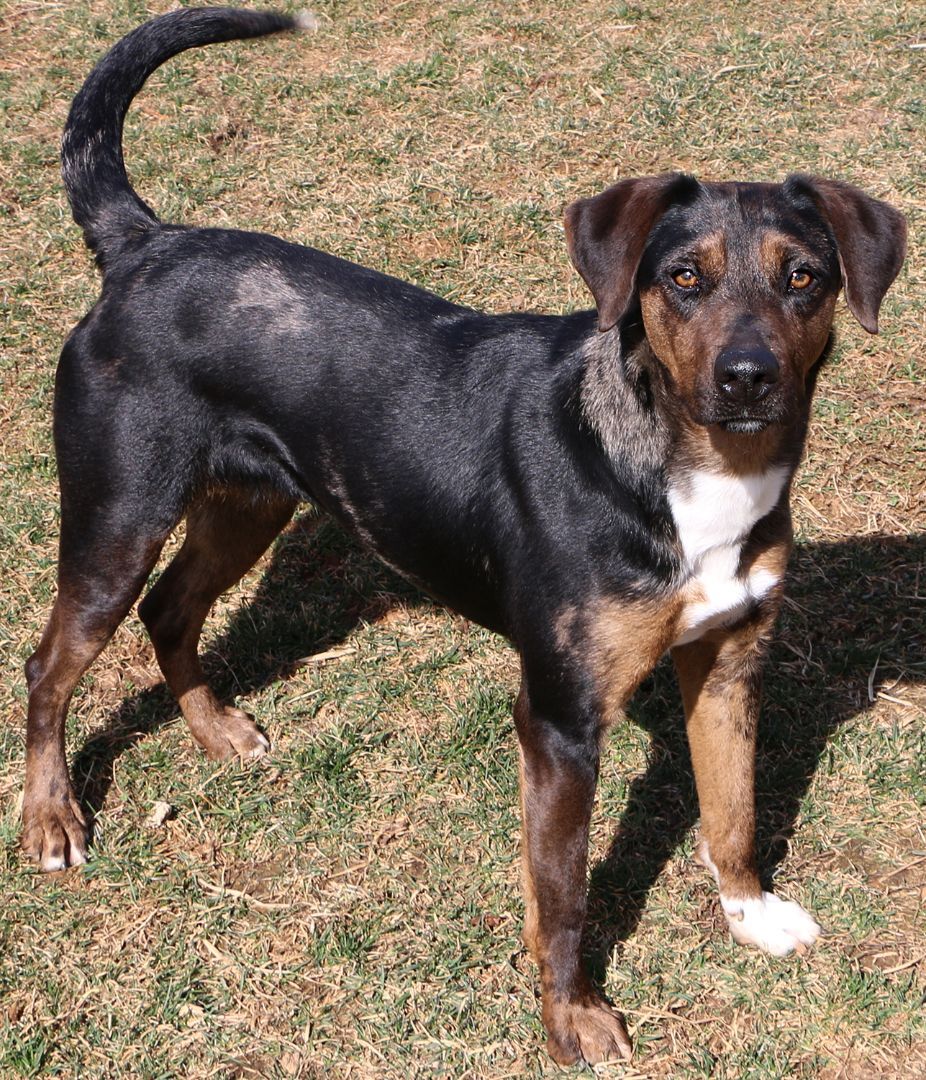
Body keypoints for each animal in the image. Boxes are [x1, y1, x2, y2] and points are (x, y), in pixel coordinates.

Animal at [25, 6, 907, 1071]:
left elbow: (731, 808)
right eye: (684, 279)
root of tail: (145, 243)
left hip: (250, 504)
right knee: (51, 664)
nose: (747, 377)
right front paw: (573, 1017)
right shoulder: (561, 719)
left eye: (805, 278)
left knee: (172, 607)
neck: (688, 470)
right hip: (118, 517)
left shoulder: (732, 660)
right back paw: (50, 818)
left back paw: (216, 729)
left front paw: (749, 912)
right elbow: (563, 896)